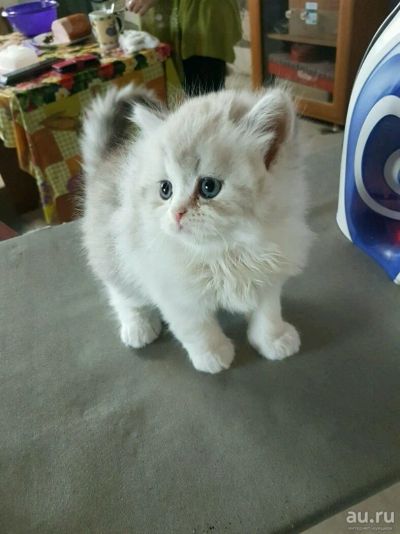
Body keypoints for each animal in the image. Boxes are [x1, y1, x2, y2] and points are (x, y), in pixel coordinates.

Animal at [81, 86, 312, 374]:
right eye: (165, 189)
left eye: (208, 187)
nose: (177, 213)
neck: (228, 250)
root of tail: (107, 160)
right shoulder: (172, 288)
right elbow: (196, 329)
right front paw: (213, 355)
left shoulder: (269, 275)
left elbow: (267, 313)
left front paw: (274, 340)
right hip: (116, 251)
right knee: (122, 295)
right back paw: (138, 327)